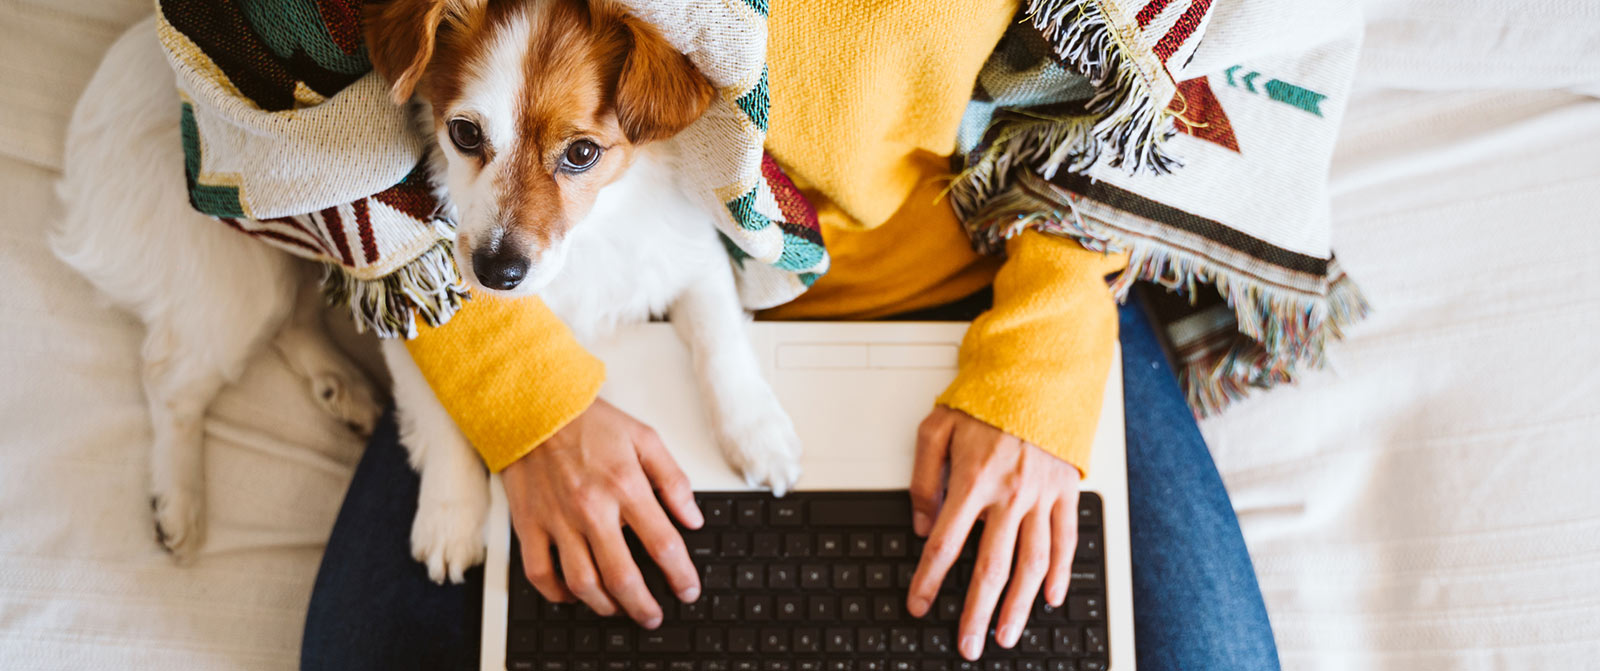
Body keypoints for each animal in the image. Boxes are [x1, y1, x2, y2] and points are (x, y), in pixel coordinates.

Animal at [56, 0, 806, 582]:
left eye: (583, 154)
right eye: (465, 133)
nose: (498, 273)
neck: (584, 247)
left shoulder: (688, 256)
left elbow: (719, 342)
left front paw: (759, 433)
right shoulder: (411, 296)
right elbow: (442, 410)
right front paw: (451, 515)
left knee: (290, 322)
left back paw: (339, 387)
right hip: (238, 281)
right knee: (172, 382)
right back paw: (176, 501)